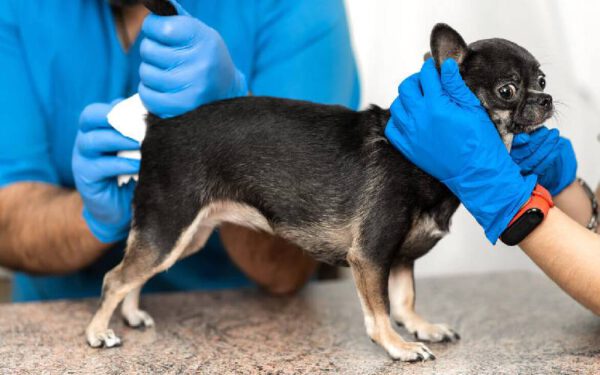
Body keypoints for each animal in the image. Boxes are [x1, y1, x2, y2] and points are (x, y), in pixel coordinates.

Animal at [84, 5, 552, 362]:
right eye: (507, 90)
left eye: (542, 80)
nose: (546, 99)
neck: (420, 158)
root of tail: (159, 124)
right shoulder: (371, 257)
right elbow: (381, 311)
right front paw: (398, 346)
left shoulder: (400, 259)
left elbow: (405, 300)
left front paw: (421, 327)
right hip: (169, 228)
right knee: (114, 277)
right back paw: (97, 332)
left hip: (185, 235)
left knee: (134, 273)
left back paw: (131, 314)